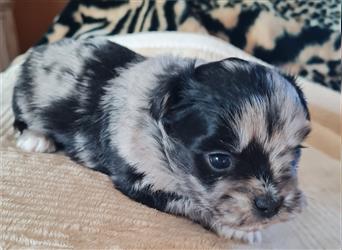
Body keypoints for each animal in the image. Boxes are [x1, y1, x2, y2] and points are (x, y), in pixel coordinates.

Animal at [11, 37, 310, 244]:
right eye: (219, 160)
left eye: (295, 153)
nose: (271, 206)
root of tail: (38, 50)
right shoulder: (142, 179)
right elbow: (192, 204)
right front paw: (239, 230)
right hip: (24, 98)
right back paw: (36, 138)